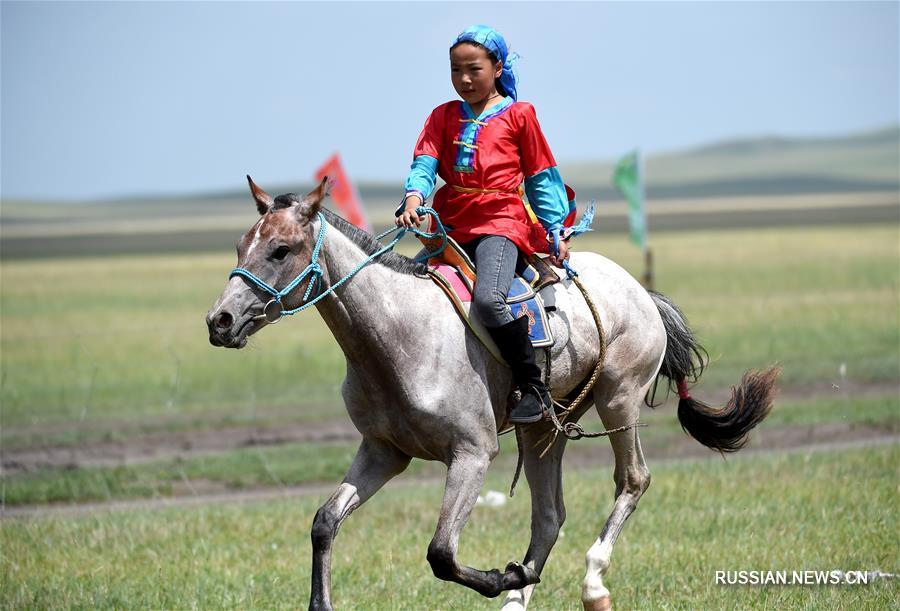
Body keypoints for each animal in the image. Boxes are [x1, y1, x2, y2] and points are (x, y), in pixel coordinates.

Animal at [207, 178, 776, 611]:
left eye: (281, 250)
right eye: (239, 247)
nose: (220, 321)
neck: (399, 336)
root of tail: (642, 292)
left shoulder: (473, 453)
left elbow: (441, 552)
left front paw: (505, 577)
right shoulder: (383, 452)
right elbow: (325, 522)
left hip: (619, 400)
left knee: (632, 480)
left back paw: (589, 584)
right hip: (542, 428)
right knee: (549, 516)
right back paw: (519, 596)